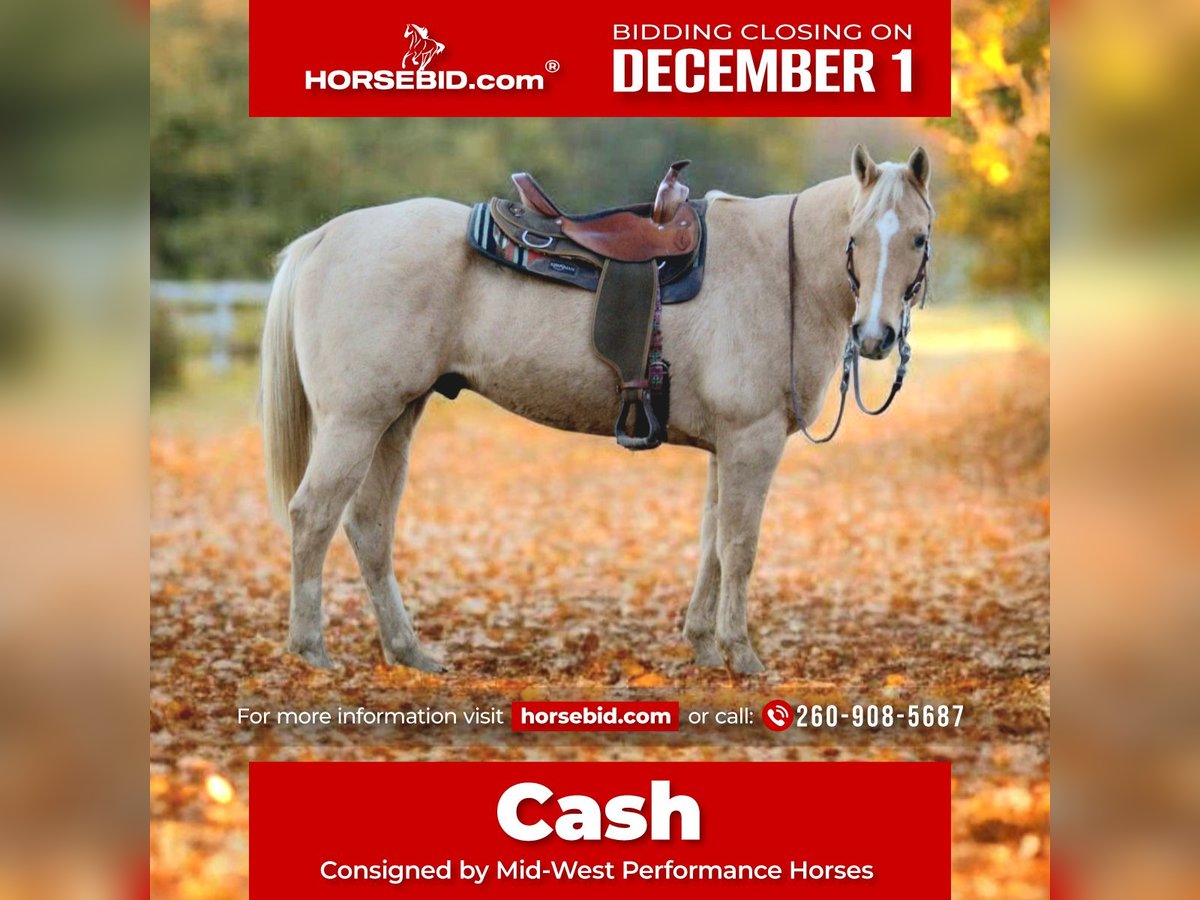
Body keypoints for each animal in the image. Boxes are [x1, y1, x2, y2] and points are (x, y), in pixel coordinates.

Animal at [260, 144, 934, 675]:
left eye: (918, 238)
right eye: (855, 237)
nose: (875, 336)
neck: (781, 272)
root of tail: (327, 237)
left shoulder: (728, 448)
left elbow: (712, 543)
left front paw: (703, 646)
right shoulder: (753, 441)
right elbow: (740, 546)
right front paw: (741, 655)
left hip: (394, 422)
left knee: (370, 527)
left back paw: (408, 652)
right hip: (356, 422)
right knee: (313, 516)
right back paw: (311, 648)